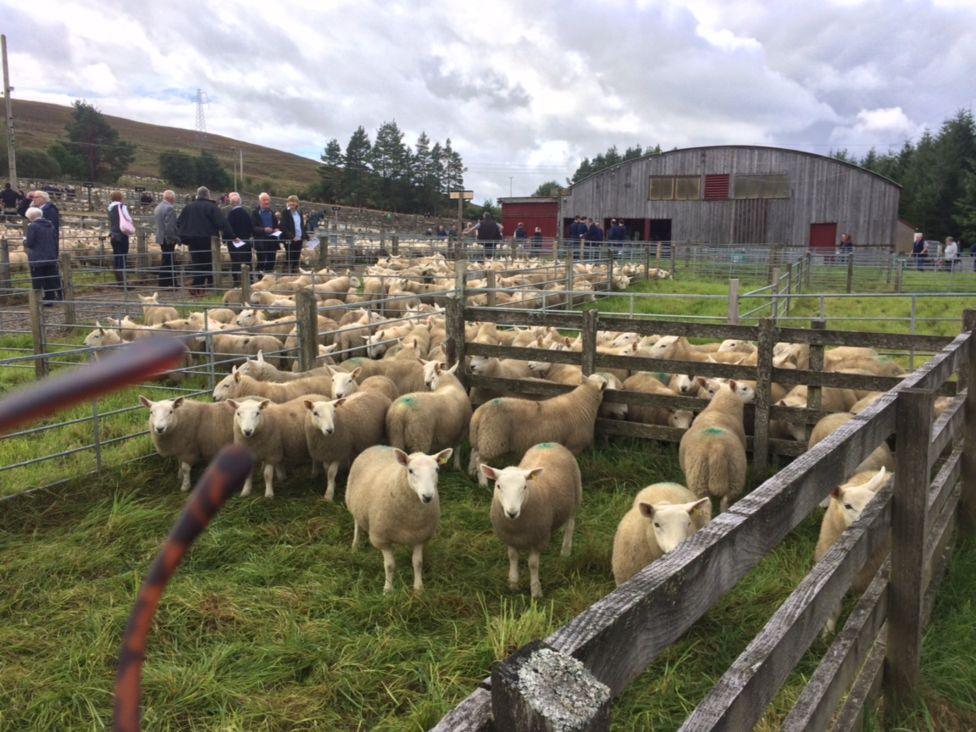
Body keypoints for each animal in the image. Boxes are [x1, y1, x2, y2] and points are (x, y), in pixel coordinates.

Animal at [344, 444, 454, 592]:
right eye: (410, 471)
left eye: (437, 469)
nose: (427, 497)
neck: (412, 517)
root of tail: (376, 445)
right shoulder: (381, 538)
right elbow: (390, 565)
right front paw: (388, 589)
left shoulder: (421, 536)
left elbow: (418, 563)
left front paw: (418, 588)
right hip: (354, 503)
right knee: (357, 524)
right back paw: (355, 545)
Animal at [478, 444, 584, 596]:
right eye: (498, 486)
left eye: (524, 487)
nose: (512, 513)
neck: (516, 527)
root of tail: (552, 443)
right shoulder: (509, 538)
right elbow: (512, 557)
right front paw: (513, 583)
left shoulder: (538, 539)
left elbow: (533, 564)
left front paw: (536, 590)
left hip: (575, 499)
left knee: (570, 526)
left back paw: (565, 551)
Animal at [680, 380, 748, 512]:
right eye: (744, 388)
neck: (719, 409)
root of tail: (717, 449)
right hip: (736, 476)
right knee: (725, 501)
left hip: (699, 482)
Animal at [816, 468, 892, 636]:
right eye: (847, 506)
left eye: (874, 500)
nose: (876, 520)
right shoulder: (831, 580)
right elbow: (832, 608)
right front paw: (827, 633)